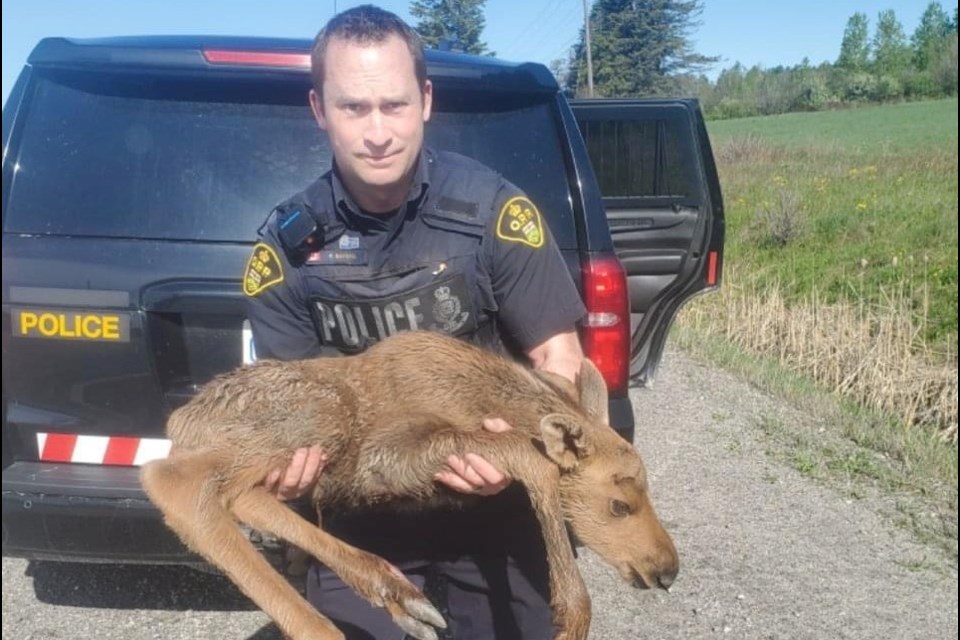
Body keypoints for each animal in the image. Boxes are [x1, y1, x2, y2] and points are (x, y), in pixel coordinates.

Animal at [144, 330, 684, 640]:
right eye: (619, 504)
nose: (666, 570)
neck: (481, 397)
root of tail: (180, 420)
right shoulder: (381, 455)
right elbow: (531, 459)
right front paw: (571, 618)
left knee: (244, 496)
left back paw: (394, 590)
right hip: (320, 415)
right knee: (174, 481)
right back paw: (324, 629)